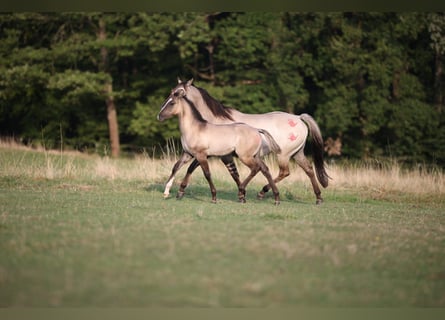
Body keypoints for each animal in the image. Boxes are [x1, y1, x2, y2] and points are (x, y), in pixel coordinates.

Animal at [163, 79, 330, 205]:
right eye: (172, 90)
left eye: (178, 92)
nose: (161, 112)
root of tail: (298, 118)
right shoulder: (219, 155)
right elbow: (231, 173)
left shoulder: (215, 154)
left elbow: (201, 169)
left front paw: (241, 194)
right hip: (297, 153)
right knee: (309, 170)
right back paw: (318, 198)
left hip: (284, 155)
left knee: (284, 172)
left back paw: (263, 193)